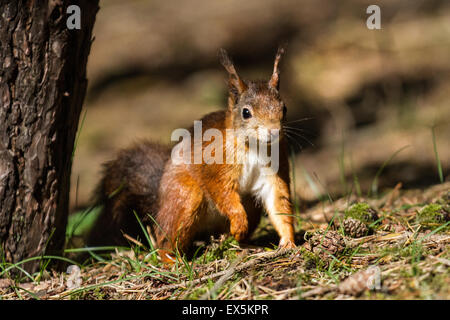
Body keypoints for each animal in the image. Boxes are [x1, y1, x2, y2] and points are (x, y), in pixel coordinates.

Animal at [89, 47, 298, 262]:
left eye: (284, 108)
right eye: (246, 112)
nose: (274, 131)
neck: (254, 147)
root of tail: (160, 203)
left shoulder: (275, 168)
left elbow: (279, 202)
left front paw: (288, 242)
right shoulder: (214, 164)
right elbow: (221, 191)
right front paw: (239, 222)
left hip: (250, 205)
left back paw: (241, 245)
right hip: (185, 198)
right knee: (166, 239)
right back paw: (173, 260)